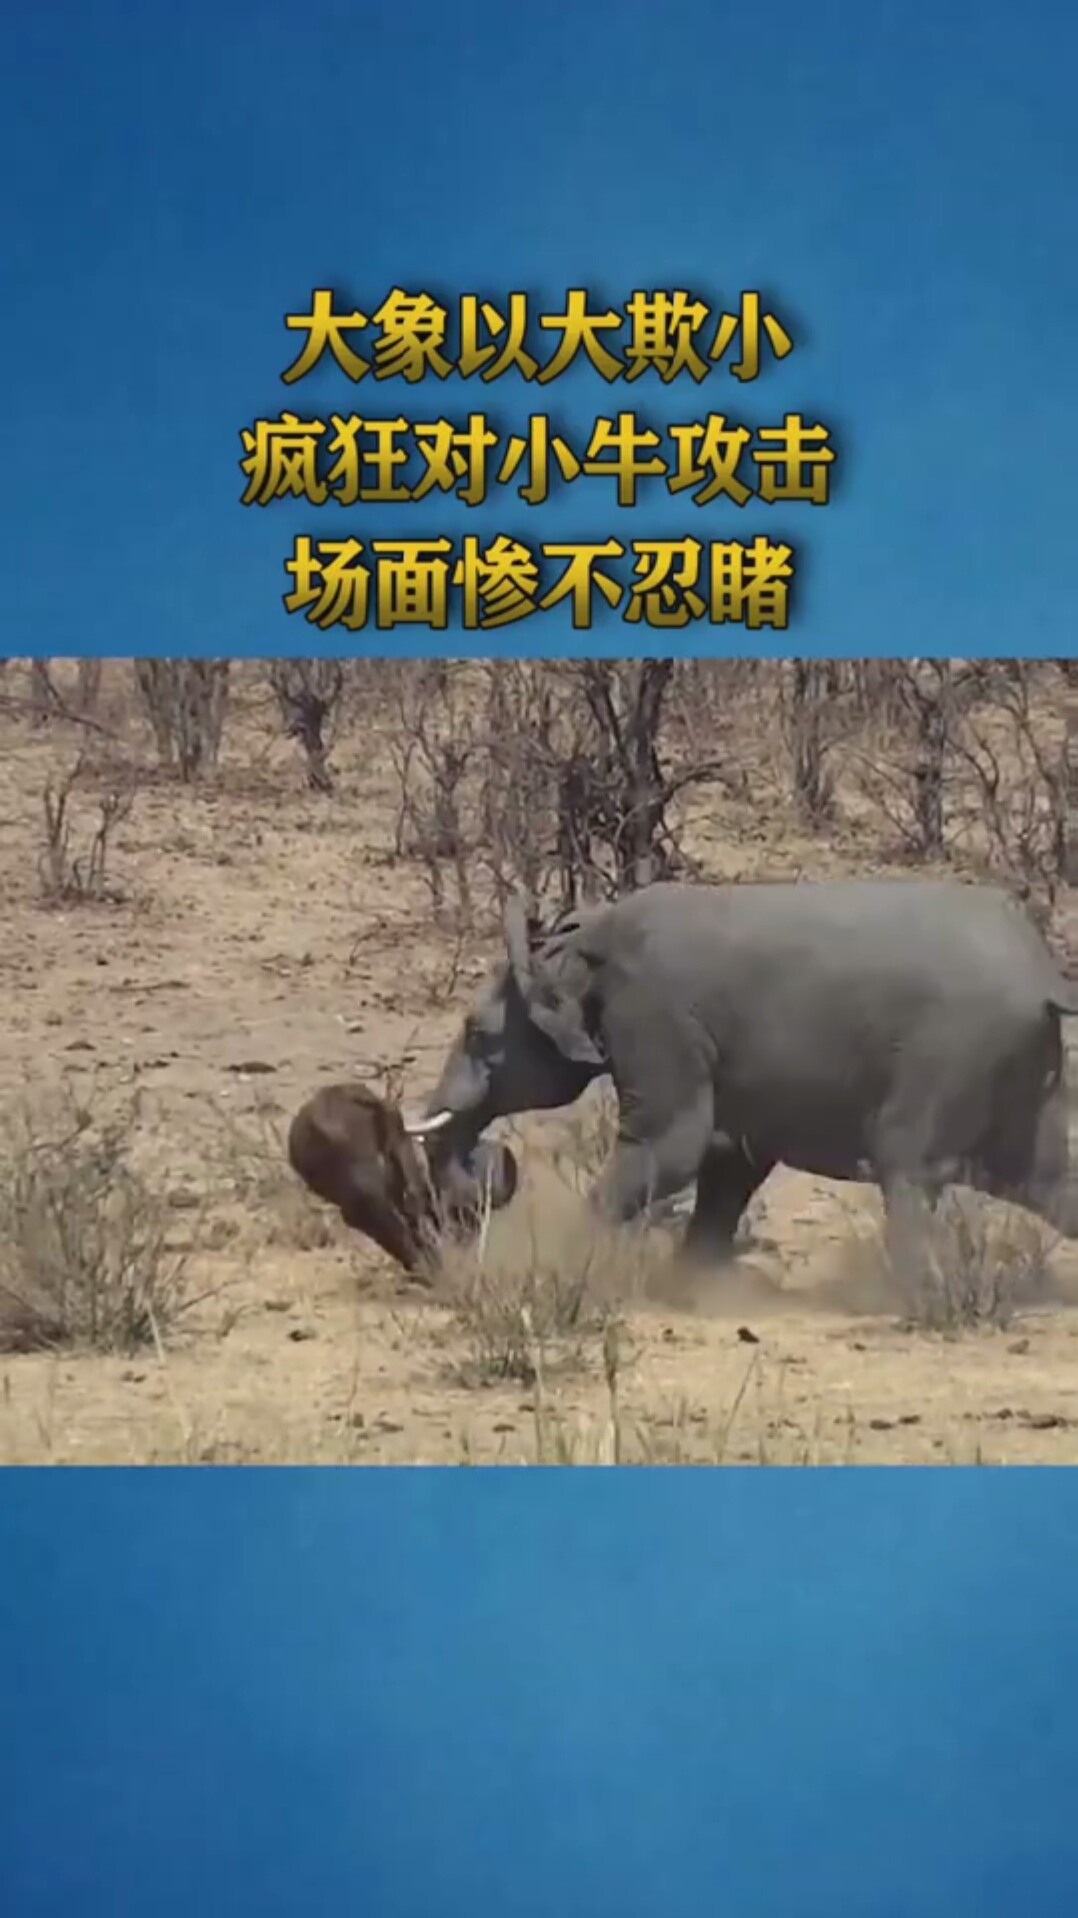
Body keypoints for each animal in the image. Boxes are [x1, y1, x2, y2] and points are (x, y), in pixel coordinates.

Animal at [414, 878, 1078, 1284]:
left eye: (476, 1034)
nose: (488, 1164)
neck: (587, 935)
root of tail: (1045, 976)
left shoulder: (657, 1019)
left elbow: (672, 1148)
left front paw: (563, 1268)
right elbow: (727, 1160)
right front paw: (689, 1285)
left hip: (951, 1054)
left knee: (908, 1167)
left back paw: (910, 1294)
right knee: (1047, 1179)